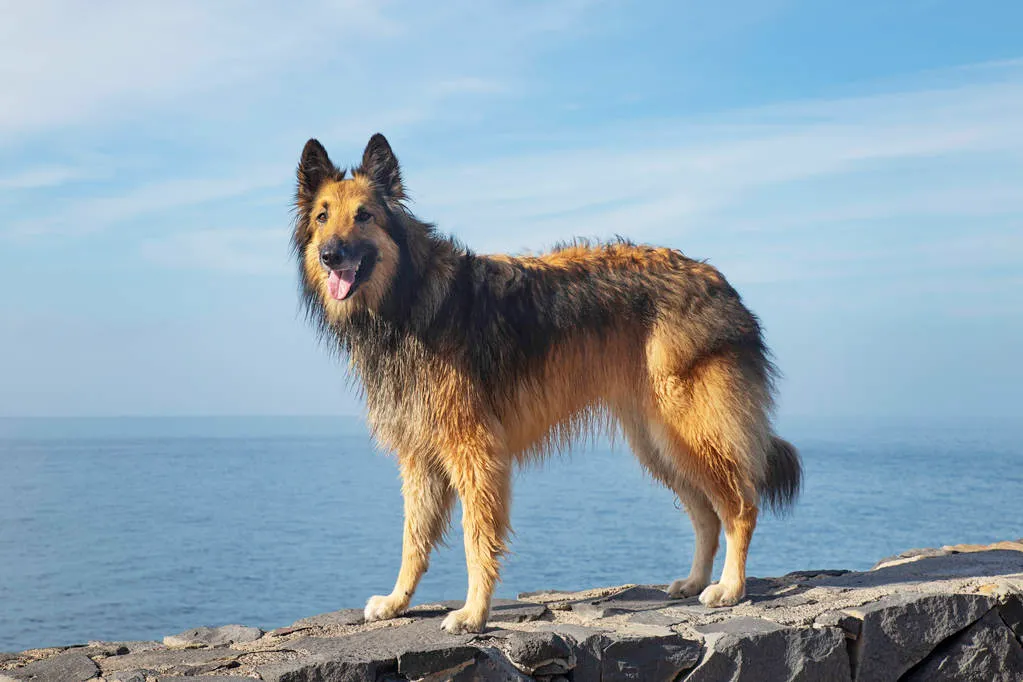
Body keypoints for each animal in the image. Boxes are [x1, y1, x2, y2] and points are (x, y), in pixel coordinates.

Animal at [292, 132, 802, 633]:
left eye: (364, 215)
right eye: (322, 216)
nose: (330, 255)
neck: (408, 295)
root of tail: (720, 281)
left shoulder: (475, 451)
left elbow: (477, 539)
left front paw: (474, 613)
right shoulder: (420, 457)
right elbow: (412, 539)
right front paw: (398, 601)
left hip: (693, 429)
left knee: (740, 506)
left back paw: (729, 587)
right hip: (660, 440)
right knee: (705, 515)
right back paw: (695, 581)